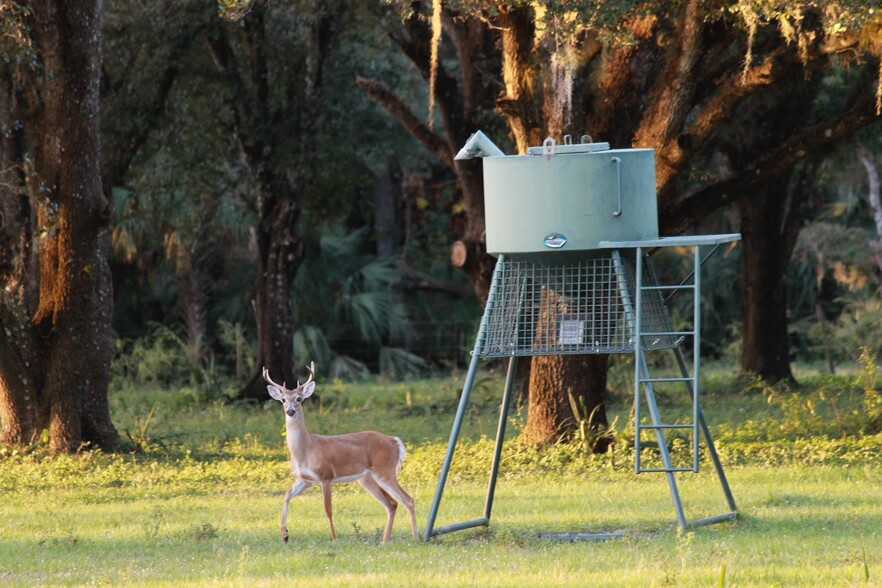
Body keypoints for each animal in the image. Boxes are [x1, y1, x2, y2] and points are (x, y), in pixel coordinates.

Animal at [262, 362, 418, 548]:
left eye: (299, 399)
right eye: (283, 400)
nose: (290, 411)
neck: (305, 450)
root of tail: (395, 441)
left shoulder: (326, 475)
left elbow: (328, 509)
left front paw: (335, 538)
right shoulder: (305, 479)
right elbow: (286, 497)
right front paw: (284, 535)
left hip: (385, 470)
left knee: (408, 499)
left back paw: (416, 536)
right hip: (367, 478)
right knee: (392, 503)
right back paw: (385, 540)